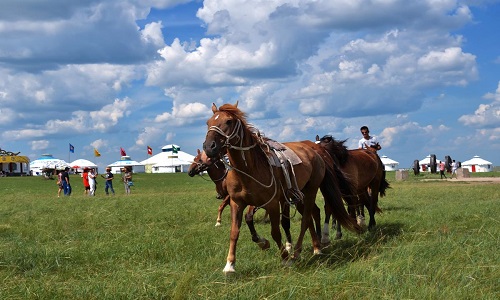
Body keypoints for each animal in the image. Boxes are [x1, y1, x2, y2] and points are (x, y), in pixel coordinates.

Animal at [203, 102, 364, 274]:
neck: (249, 170)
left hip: (310, 190)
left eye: (229, 121)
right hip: (298, 194)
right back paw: (316, 247)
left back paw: (299, 252)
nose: (209, 147)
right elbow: (235, 232)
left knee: (307, 218)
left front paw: (285, 258)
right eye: (208, 122)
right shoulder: (237, 203)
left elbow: (276, 232)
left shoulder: (272, 204)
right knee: (312, 214)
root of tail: (317, 152)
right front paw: (230, 265)